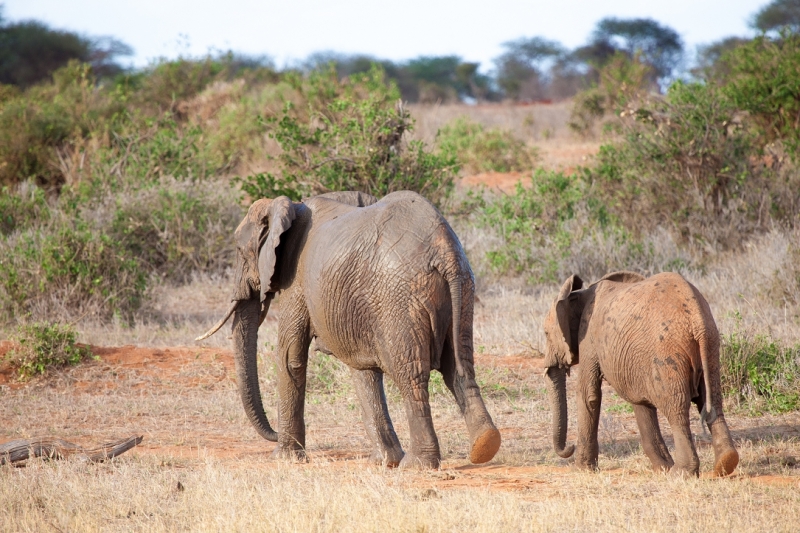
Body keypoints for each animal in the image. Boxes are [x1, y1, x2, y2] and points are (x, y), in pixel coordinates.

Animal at [198, 189, 500, 468]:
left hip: (401, 298)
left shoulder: (296, 281)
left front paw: (285, 458)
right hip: (462, 290)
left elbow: (289, 356)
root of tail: (444, 250)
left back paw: (417, 464)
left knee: (411, 375)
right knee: (459, 366)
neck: (291, 205)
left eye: (240, 252)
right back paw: (484, 447)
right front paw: (383, 461)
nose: (272, 434)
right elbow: (362, 368)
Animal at [540, 272, 740, 476]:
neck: (579, 294)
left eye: (546, 333)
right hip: (711, 346)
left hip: (667, 352)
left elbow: (588, 395)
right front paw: (662, 469)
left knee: (676, 409)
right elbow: (640, 400)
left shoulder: (589, 339)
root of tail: (697, 319)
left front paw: (582, 470)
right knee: (712, 400)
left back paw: (681, 473)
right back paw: (725, 463)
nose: (569, 447)